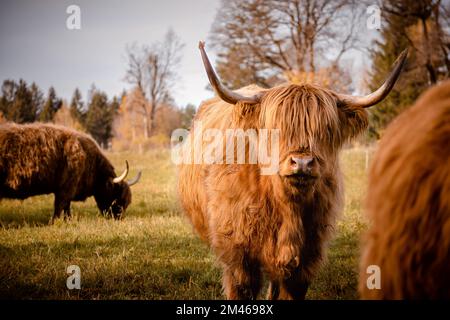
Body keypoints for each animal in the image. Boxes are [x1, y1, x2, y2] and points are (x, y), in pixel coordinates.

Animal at [0, 122, 141, 222]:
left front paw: (68, 220)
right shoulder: (66, 188)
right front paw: (55, 222)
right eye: (118, 198)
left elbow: (66, 207)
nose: (118, 218)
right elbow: (60, 205)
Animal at [178, 41, 410, 298]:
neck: (286, 206)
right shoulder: (238, 256)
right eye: (275, 128)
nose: (302, 163)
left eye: (327, 129)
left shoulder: (307, 258)